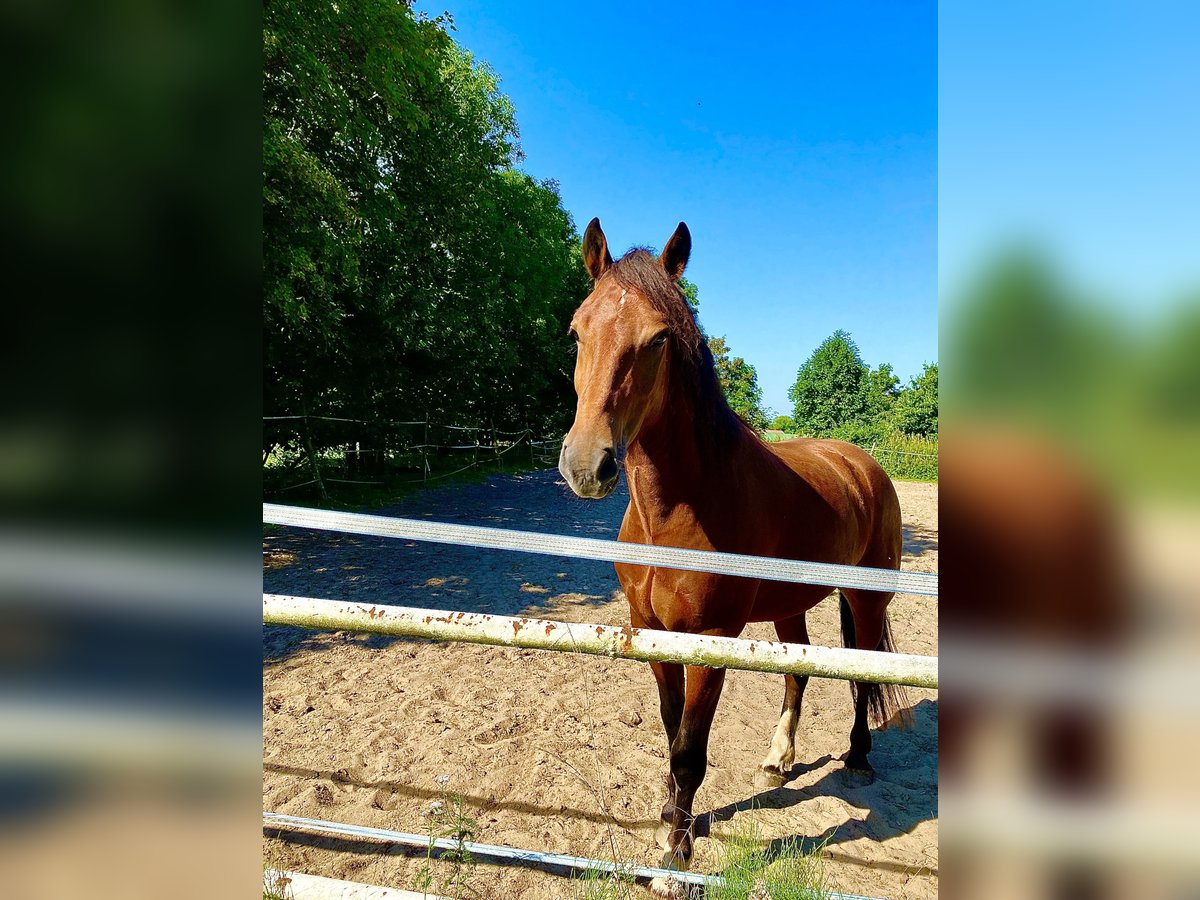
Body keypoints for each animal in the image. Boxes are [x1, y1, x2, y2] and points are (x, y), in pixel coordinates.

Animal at [561, 218, 907, 897]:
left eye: (659, 339)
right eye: (577, 330)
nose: (588, 465)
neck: (675, 512)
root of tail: (864, 465)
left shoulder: (712, 639)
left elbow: (690, 750)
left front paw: (675, 858)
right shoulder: (651, 631)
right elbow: (671, 732)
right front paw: (670, 819)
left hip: (866, 598)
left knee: (861, 674)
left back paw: (857, 756)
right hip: (789, 608)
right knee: (799, 673)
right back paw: (777, 762)